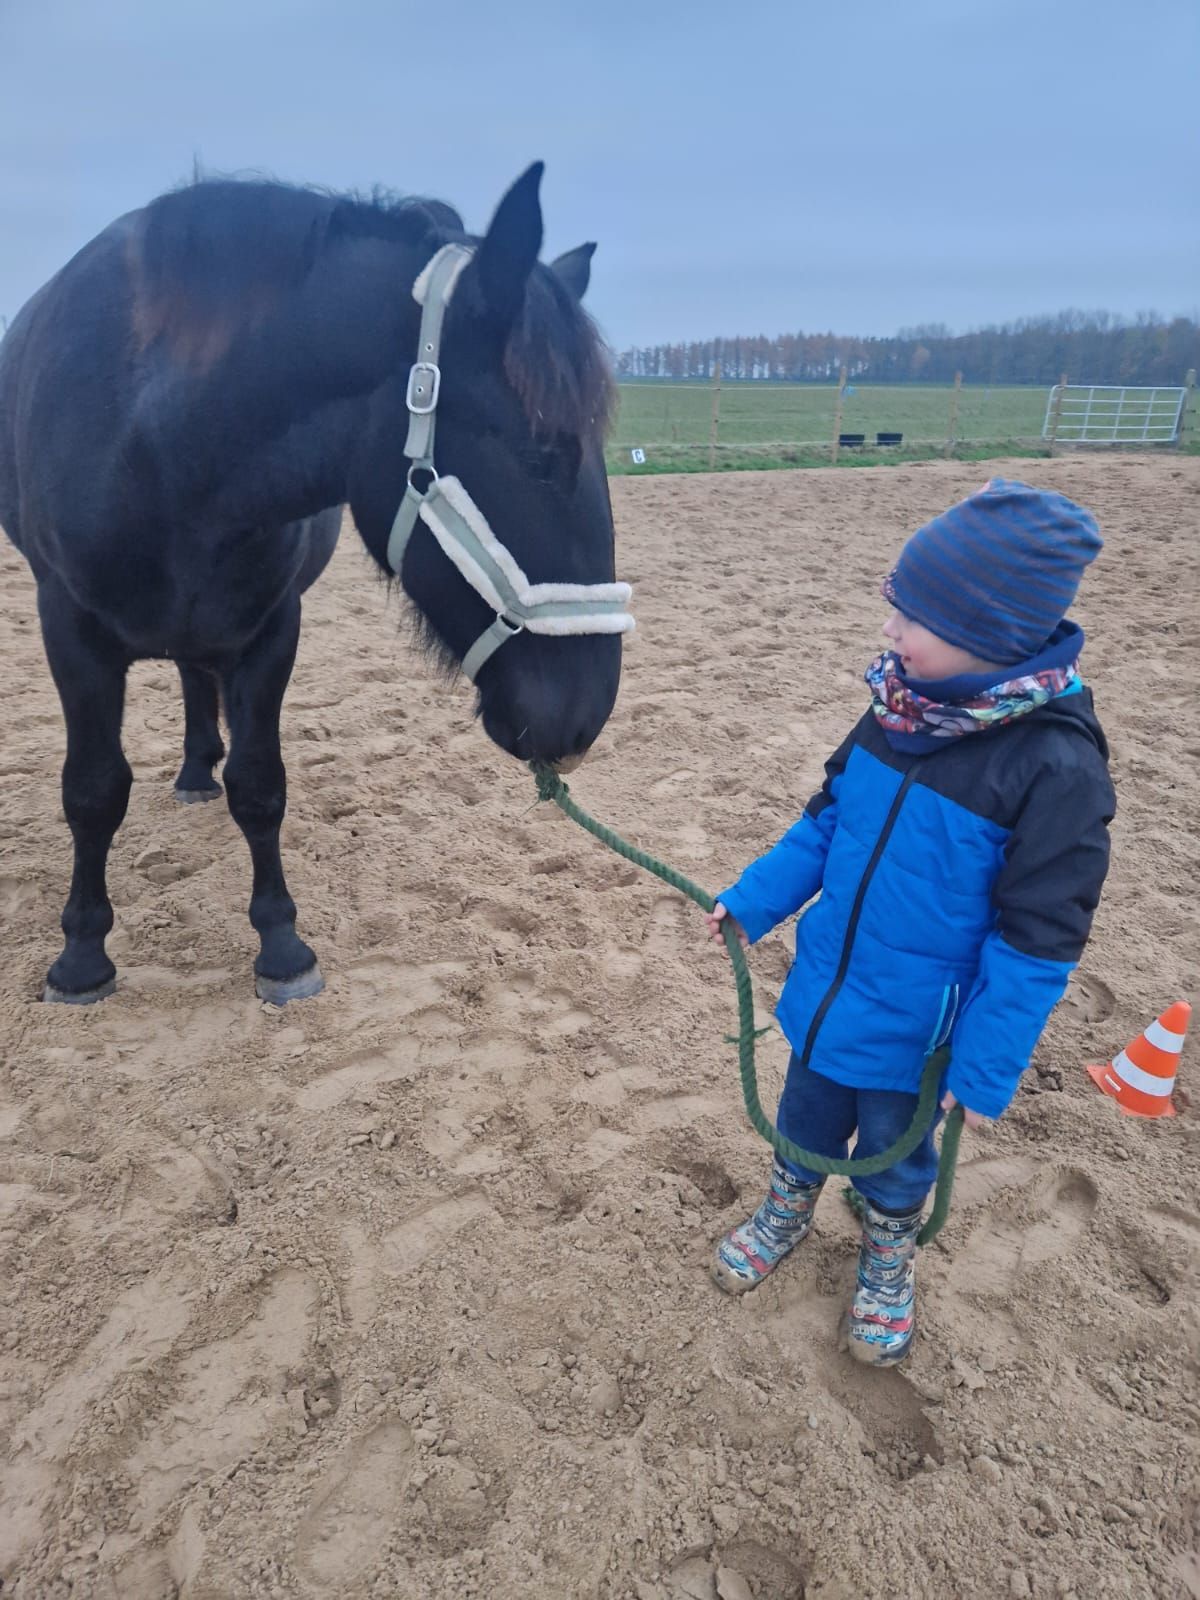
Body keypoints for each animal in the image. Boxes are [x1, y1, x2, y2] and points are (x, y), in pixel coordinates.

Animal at [0, 162, 632, 1006]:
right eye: (544, 452)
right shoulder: (68, 629)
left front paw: (281, 945)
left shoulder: (270, 629)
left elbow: (260, 785)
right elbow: (94, 790)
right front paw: (80, 956)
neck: (155, 433)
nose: (582, 720)